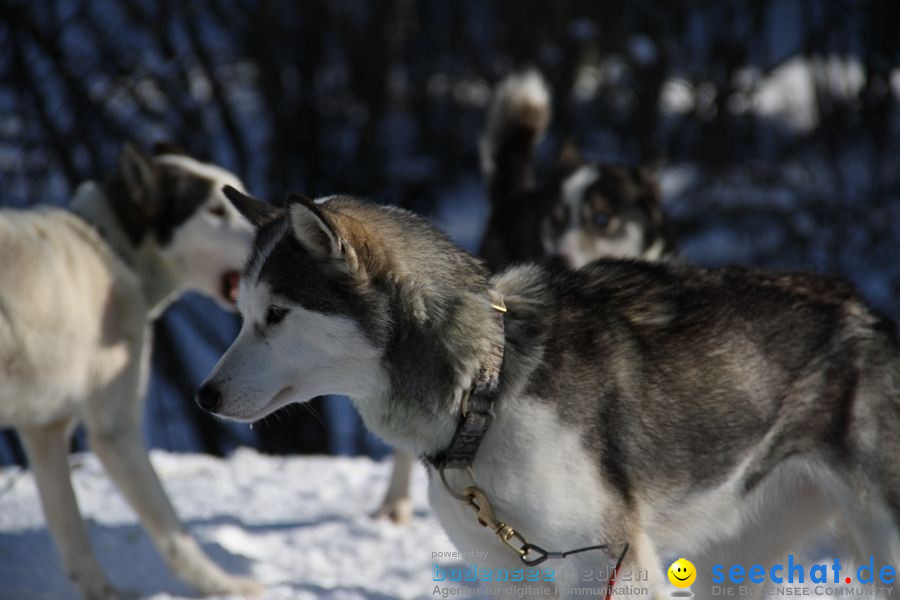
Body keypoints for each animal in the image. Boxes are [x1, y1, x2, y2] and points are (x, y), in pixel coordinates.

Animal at [204, 186, 900, 596]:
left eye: (276, 315)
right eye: (243, 312)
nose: (204, 396)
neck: (484, 392)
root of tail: (868, 312)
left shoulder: (607, 565)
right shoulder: (511, 575)